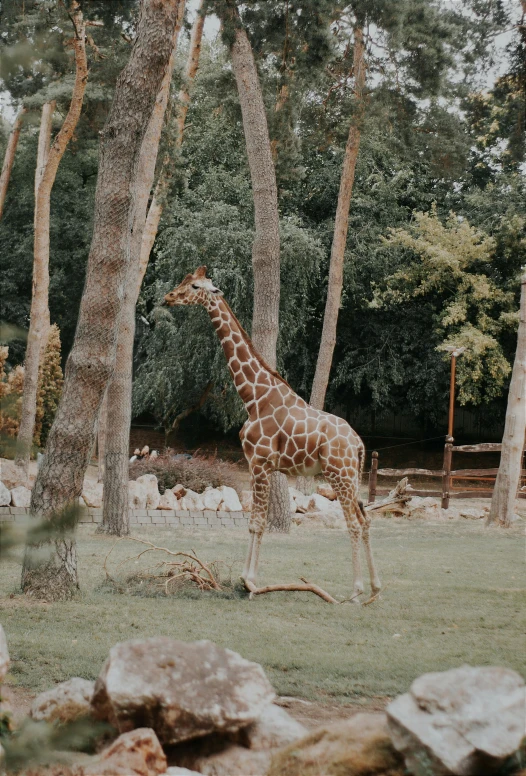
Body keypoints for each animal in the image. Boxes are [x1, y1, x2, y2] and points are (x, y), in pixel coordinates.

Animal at [163, 266, 382, 600]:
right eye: (185, 282)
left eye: (196, 286)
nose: (168, 297)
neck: (254, 398)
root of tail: (358, 444)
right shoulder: (260, 466)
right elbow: (257, 522)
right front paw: (248, 578)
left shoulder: (260, 463)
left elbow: (256, 523)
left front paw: (249, 581)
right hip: (352, 476)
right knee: (366, 519)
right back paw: (374, 589)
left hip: (339, 474)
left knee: (354, 523)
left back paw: (356, 591)